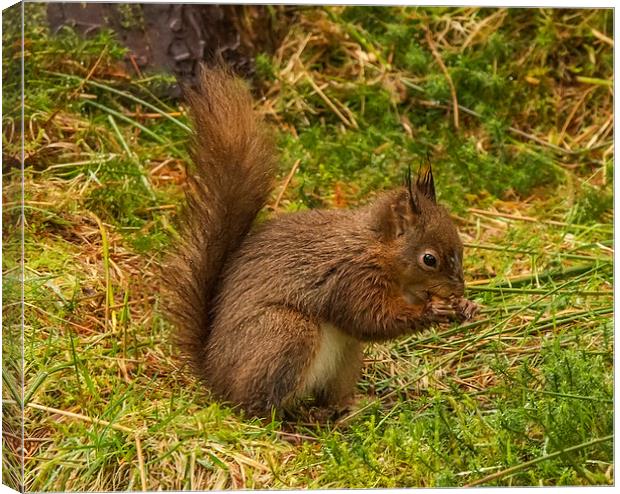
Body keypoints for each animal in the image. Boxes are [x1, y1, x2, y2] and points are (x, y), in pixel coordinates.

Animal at [166, 68, 480, 416]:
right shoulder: (353, 279)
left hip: (346, 357)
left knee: (331, 396)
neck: (376, 249)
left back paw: (352, 408)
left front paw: (466, 306)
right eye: (429, 259)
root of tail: (214, 376)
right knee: (254, 405)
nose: (458, 289)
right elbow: (372, 320)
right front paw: (433, 309)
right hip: (287, 334)